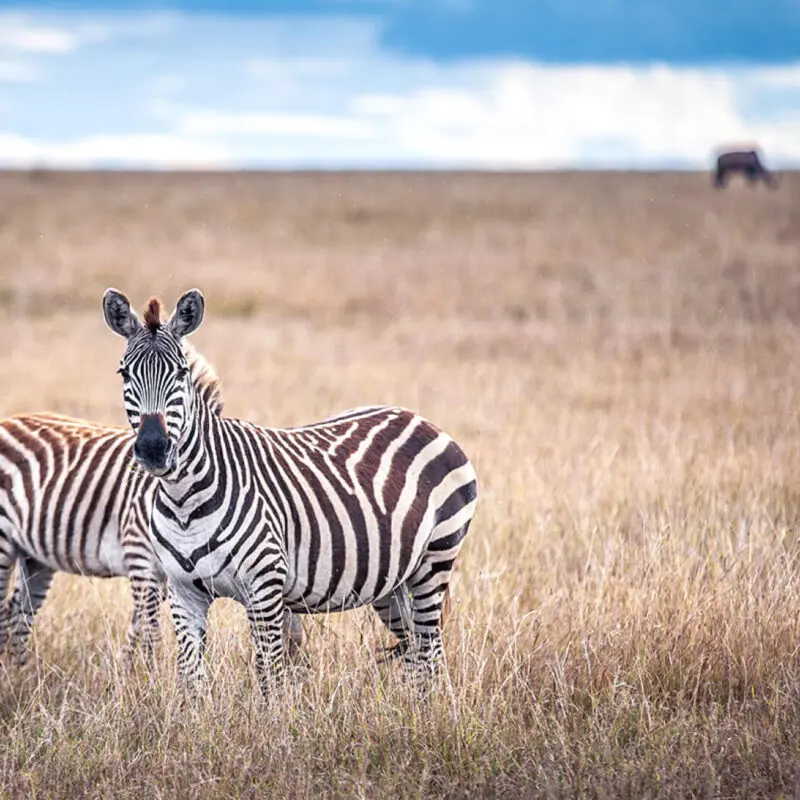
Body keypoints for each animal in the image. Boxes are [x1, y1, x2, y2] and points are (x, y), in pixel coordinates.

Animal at [0, 350, 304, 666]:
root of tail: (9, 421)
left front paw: (132, 671)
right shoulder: (141, 555)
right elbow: (148, 632)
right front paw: (145, 675)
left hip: (35, 556)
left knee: (17, 612)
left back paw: (20, 672)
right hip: (6, 541)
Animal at [101, 287, 478, 694]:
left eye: (181, 373)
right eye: (124, 373)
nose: (153, 448)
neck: (185, 500)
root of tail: (421, 420)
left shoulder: (264, 586)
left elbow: (268, 674)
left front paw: (270, 712)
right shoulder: (183, 592)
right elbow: (190, 679)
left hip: (435, 559)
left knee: (429, 650)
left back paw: (427, 705)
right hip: (392, 581)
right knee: (417, 649)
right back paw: (409, 704)